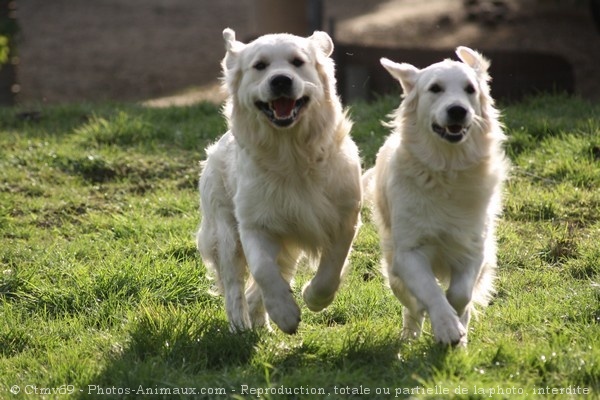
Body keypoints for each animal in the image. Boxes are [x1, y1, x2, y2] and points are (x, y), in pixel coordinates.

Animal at [197, 28, 364, 334]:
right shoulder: (254, 223)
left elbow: (332, 268)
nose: (281, 80)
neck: (291, 154)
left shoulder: (344, 217)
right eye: (260, 66)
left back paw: (260, 322)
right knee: (234, 284)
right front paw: (285, 313)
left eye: (297, 62)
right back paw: (240, 326)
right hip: (225, 232)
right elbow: (263, 270)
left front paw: (313, 297)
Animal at [364, 47, 508, 346]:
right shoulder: (408, 253)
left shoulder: (474, 247)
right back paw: (411, 334)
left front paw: (456, 324)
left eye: (470, 89)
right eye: (435, 88)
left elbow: (460, 294)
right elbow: (430, 291)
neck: (446, 169)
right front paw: (446, 326)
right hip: (393, 266)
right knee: (410, 305)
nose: (457, 110)